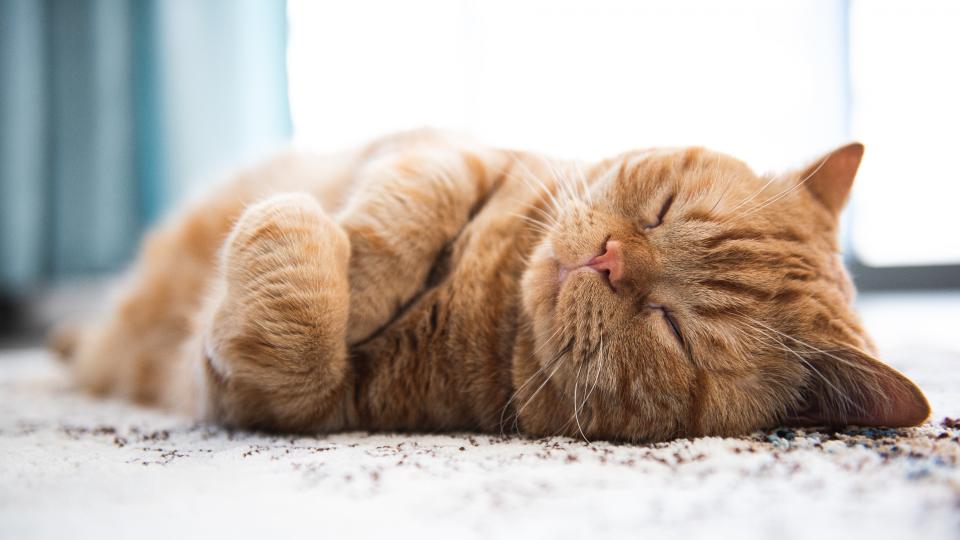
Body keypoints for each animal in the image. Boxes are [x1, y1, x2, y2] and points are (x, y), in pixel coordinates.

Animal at [52, 129, 928, 440]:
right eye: (662, 209)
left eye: (671, 325)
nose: (607, 260)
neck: (492, 295)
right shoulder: (448, 152)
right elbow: (410, 205)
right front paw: (356, 267)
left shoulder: (268, 401)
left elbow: (302, 349)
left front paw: (300, 237)